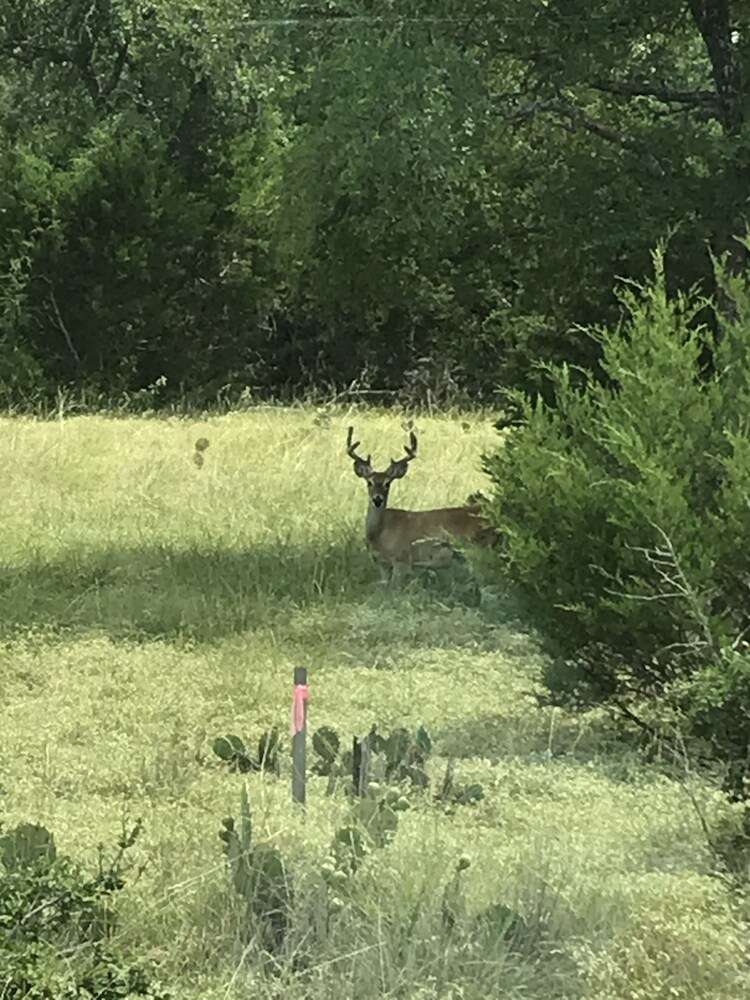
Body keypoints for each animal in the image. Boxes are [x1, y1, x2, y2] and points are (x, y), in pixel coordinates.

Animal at [348, 426, 500, 584]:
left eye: (387, 483)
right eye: (369, 482)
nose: (377, 499)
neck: (379, 534)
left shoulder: (402, 560)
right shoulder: (381, 564)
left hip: (481, 549)